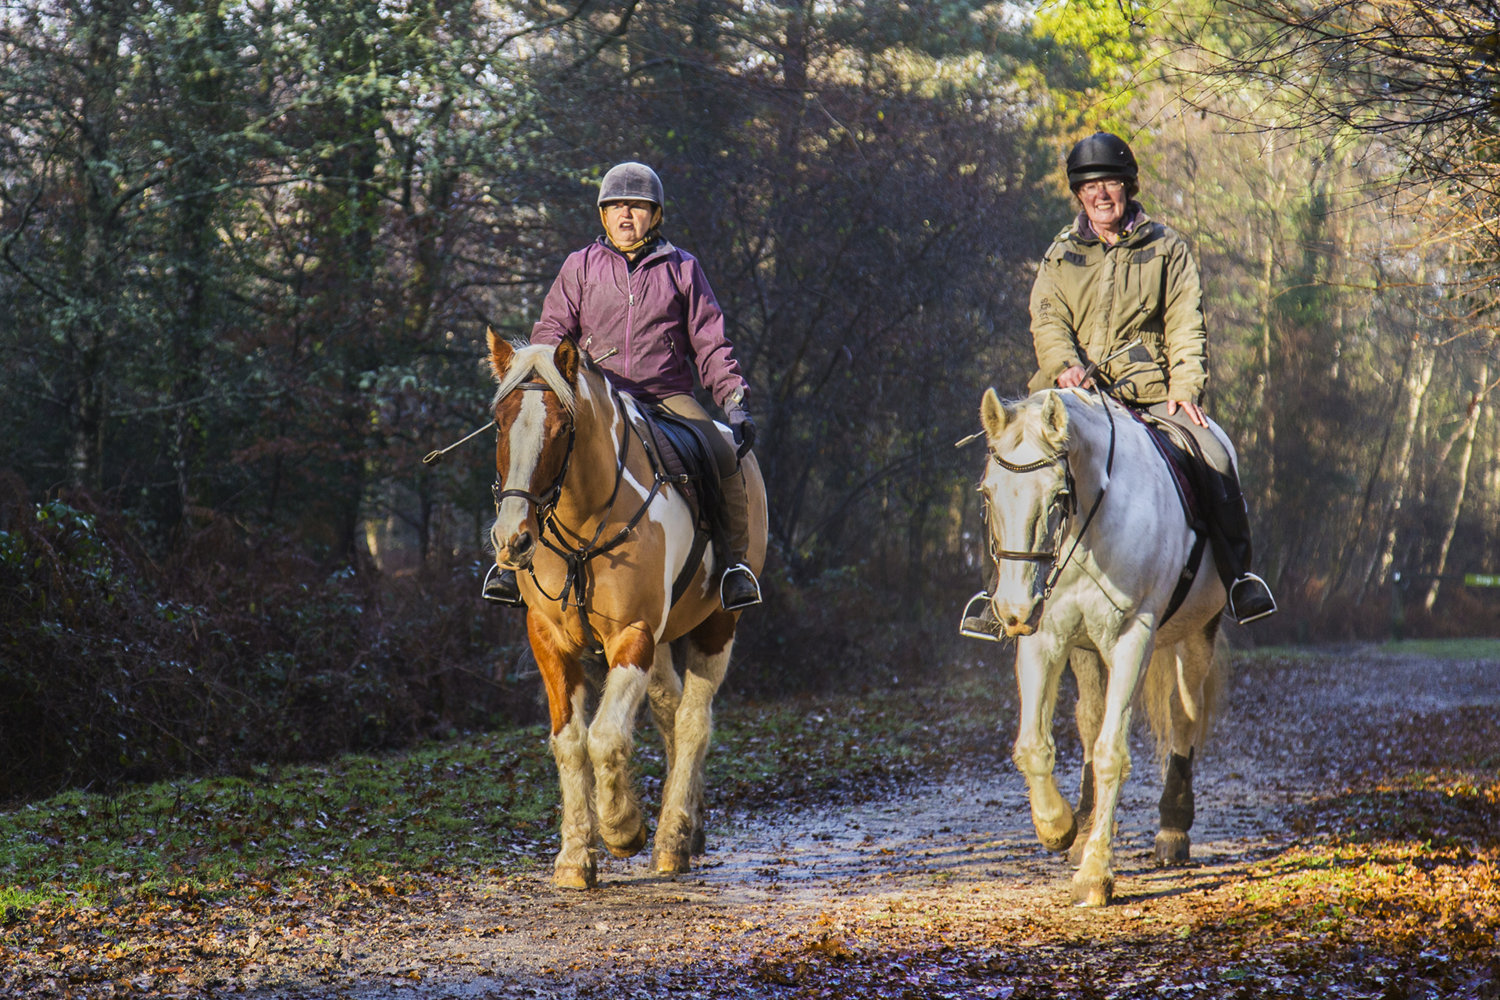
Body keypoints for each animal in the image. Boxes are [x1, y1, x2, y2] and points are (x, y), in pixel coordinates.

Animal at [486, 335, 768, 893]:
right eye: (501, 422)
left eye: (561, 428)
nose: (513, 539)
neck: (584, 521)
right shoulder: (548, 640)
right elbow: (571, 742)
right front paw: (576, 856)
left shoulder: (633, 636)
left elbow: (605, 737)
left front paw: (622, 828)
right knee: (669, 710)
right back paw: (689, 827)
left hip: (716, 628)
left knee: (692, 722)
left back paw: (671, 840)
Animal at [972, 389, 1230, 905]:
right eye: (989, 494)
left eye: (1058, 496)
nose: (1013, 609)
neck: (1086, 530)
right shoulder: (1044, 638)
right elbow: (1035, 744)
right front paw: (1058, 827)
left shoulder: (1134, 639)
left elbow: (1113, 752)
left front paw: (1095, 874)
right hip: (1085, 649)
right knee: (1090, 719)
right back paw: (1085, 824)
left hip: (1197, 632)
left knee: (1184, 715)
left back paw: (1172, 830)